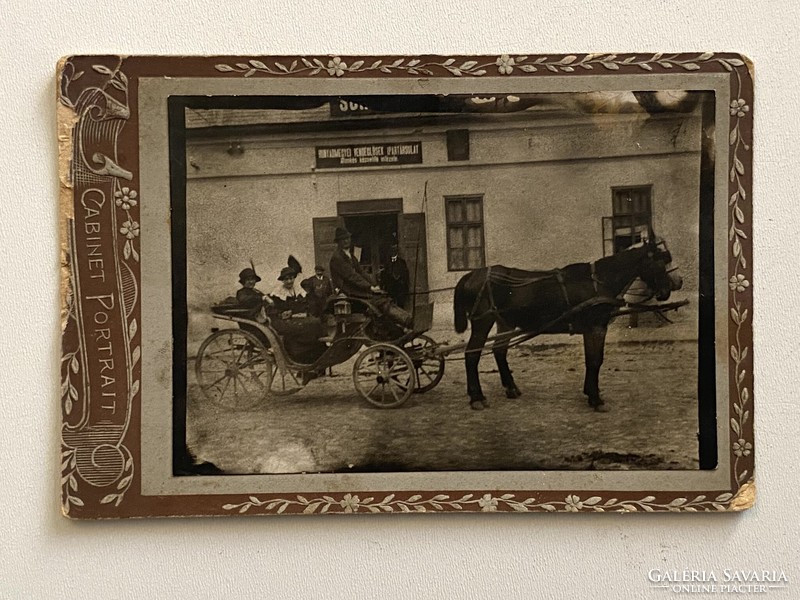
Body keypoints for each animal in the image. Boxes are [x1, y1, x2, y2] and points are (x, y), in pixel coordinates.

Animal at [454, 237, 684, 410]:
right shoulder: (596, 328)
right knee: (472, 355)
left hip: (505, 323)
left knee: (499, 351)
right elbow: (595, 361)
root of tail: (471, 275)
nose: (676, 284)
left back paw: (511, 389)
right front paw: (595, 399)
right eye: (662, 261)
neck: (598, 282)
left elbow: (592, 360)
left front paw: (590, 392)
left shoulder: (593, 329)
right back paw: (477, 398)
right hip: (483, 322)